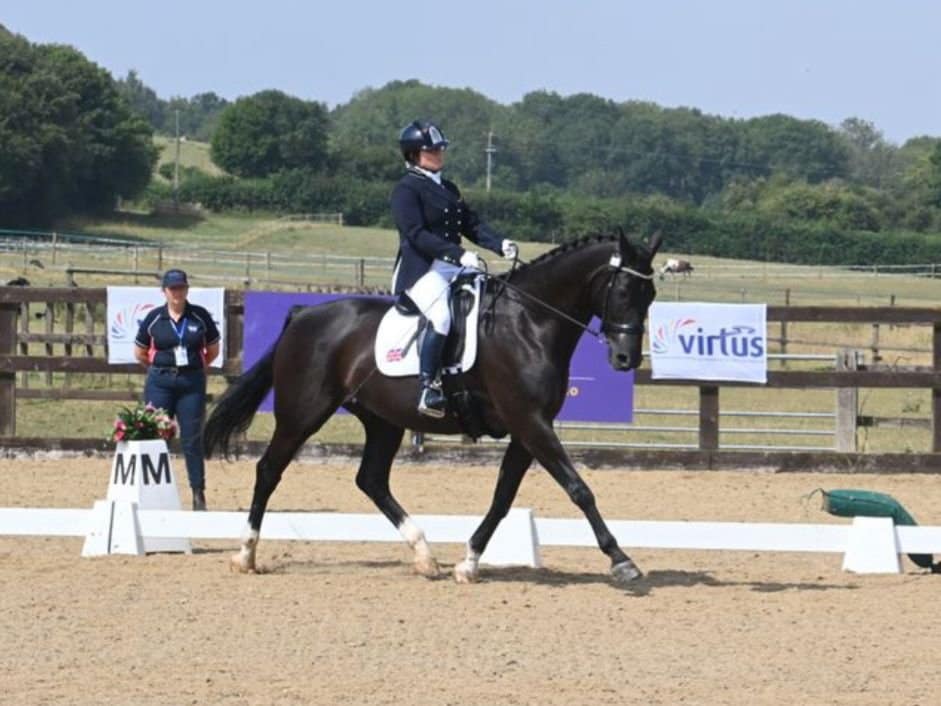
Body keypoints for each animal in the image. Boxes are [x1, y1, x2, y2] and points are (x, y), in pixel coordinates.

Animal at [203, 230, 661, 583]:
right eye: (623, 290)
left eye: (651, 293)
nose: (626, 359)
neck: (529, 322)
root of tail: (302, 315)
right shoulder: (530, 423)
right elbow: (579, 489)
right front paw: (622, 561)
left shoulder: (528, 429)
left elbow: (503, 498)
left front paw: (468, 563)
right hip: (302, 413)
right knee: (269, 470)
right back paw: (245, 555)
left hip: (382, 420)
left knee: (371, 480)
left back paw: (425, 556)